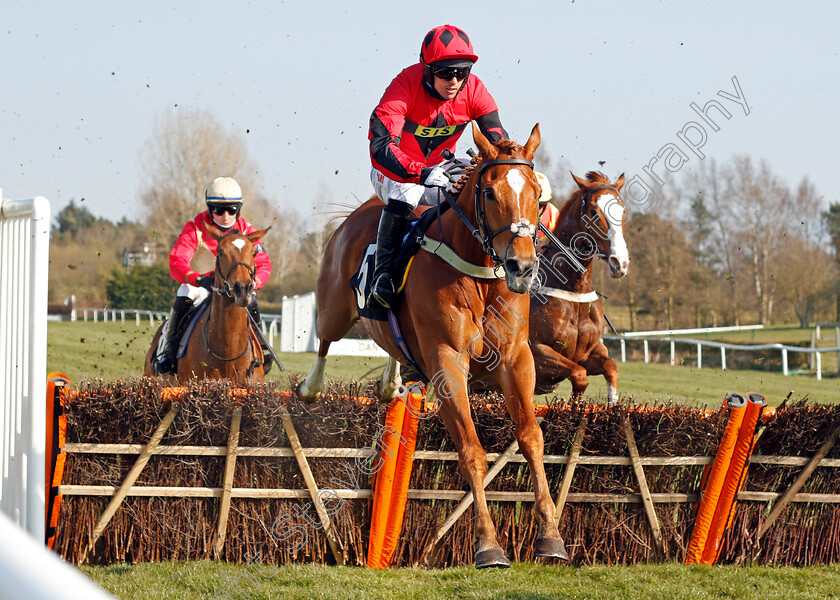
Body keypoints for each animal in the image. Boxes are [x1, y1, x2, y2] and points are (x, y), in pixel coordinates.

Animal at [298, 123, 568, 568]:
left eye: (536, 193)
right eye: (489, 192)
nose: (523, 267)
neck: (479, 274)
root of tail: (360, 211)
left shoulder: (516, 359)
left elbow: (531, 437)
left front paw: (551, 536)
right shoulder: (447, 360)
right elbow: (472, 451)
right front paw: (488, 544)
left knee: (390, 345)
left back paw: (389, 384)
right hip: (335, 304)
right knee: (324, 338)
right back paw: (310, 387)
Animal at [532, 171, 632, 400]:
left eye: (622, 210)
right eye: (594, 212)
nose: (620, 263)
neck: (574, 290)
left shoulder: (589, 352)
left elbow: (611, 368)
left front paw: (614, 404)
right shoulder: (537, 351)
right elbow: (580, 375)